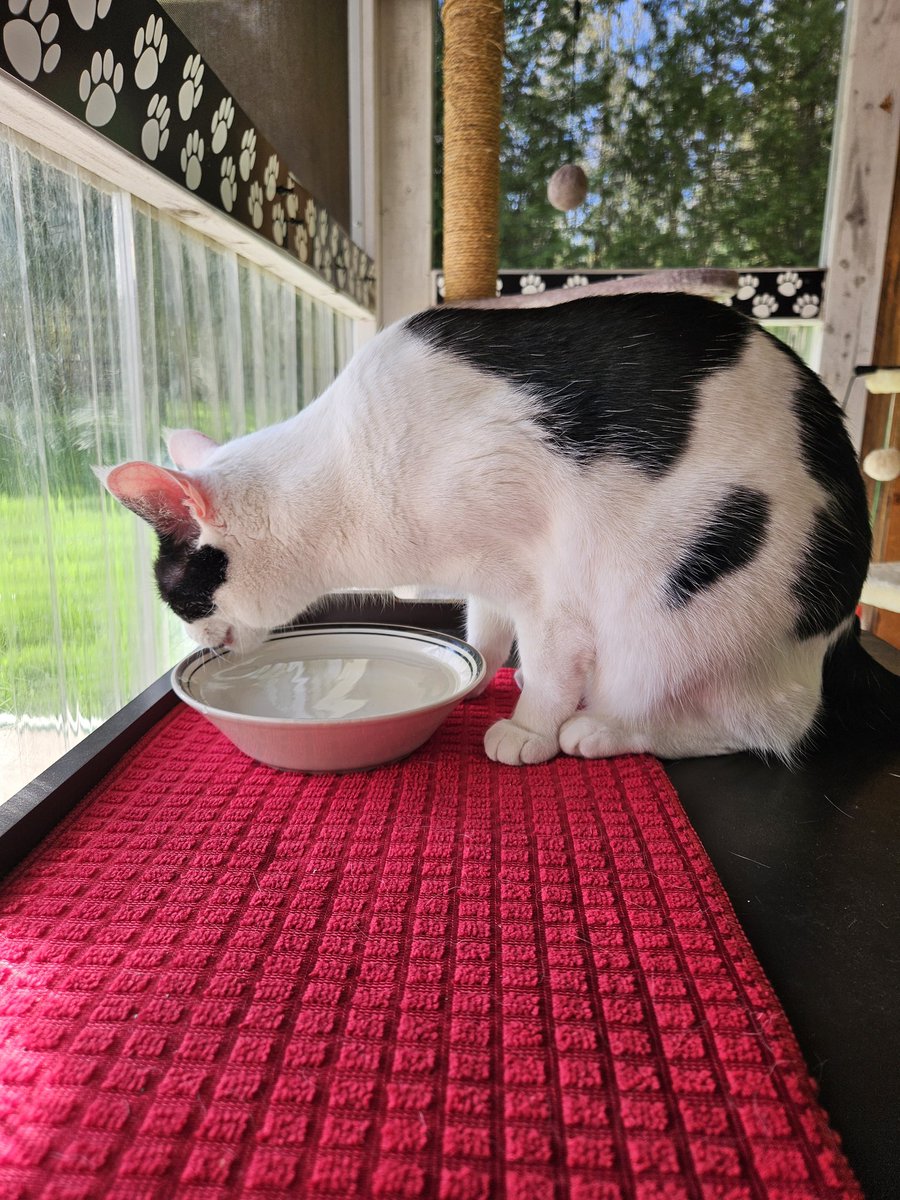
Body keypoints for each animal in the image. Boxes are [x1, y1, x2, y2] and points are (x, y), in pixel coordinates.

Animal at [98, 290, 900, 763]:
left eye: (179, 598)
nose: (193, 642)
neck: (343, 487)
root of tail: (840, 634)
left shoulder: (548, 577)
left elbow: (547, 664)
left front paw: (529, 726)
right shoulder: (489, 574)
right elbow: (482, 627)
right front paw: (478, 673)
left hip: (677, 614)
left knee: (764, 726)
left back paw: (602, 729)